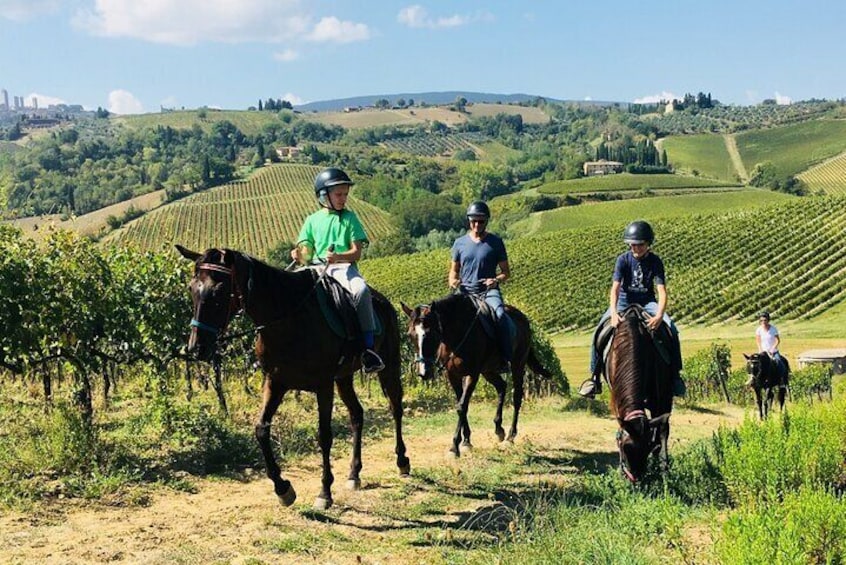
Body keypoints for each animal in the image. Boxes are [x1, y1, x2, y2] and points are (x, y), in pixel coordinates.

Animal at [176, 245, 410, 508]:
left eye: (219, 291)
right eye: (191, 288)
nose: (197, 348)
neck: (287, 319)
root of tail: (383, 302)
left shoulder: (323, 385)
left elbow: (324, 435)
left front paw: (324, 492)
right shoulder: (275, 382)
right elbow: (261, 429)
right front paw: (283, 488)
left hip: (388, 366)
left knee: (395, 406)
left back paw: (402, 461)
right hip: (344, 378)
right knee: (357, 414)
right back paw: (354, 474)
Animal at [404, 294, 556, 456]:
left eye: (431, 333)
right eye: (410, 335)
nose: (424, 373)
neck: (457, 334)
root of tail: (523, 318)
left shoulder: (472, 374)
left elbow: (462, 406)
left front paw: (455, 447)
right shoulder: (453, 375)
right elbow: (461, 404)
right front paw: (466, 441)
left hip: (518, 365)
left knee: (517, 397)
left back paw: (510, 437)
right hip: (488, 371)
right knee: (502, 386)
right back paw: (499, 429)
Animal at [608, 304, 676, 480]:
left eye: (647, 448)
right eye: (625, 447)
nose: (636, 479)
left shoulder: (658, 399)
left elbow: (659, 434)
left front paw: (661, 470)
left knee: (663, 430)